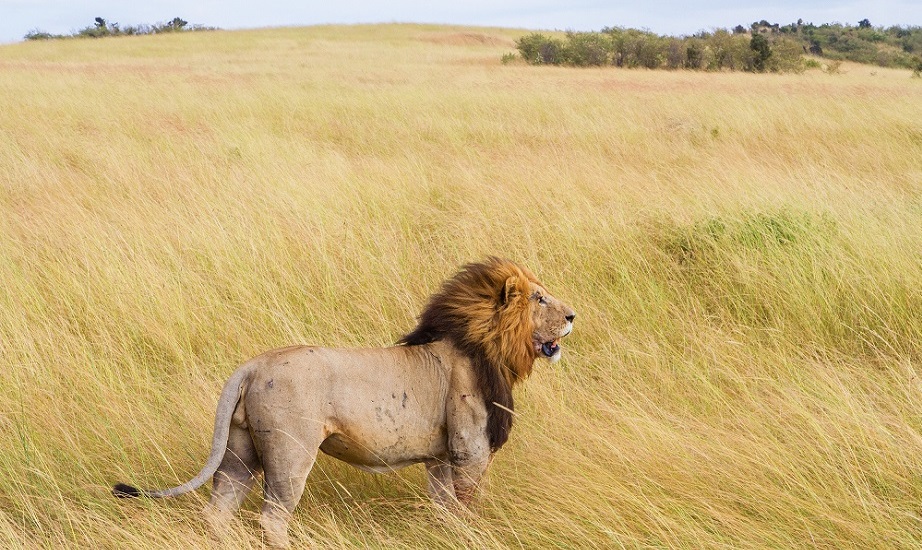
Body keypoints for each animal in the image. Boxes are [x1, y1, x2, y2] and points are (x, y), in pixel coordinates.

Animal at [113, 258, 576, 548]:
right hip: (290, 453)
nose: (573, 316)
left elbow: (444, 510)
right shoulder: (469, 450)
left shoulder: (441, 458)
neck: (488, 347)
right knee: (272, 518)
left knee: (217, 512)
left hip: (239, 452)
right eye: (538, 298)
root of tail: (251, 366)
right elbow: (466, 509)